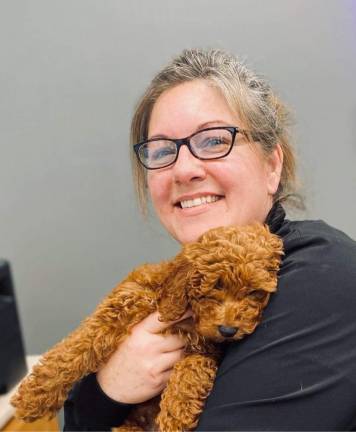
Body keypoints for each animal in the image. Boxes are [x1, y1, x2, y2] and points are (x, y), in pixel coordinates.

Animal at [11, 224, 284, 430]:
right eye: (215, 286)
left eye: (256, 293)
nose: (228, 331)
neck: (189, 315)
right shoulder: (125, 301)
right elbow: (78, 347)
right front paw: (36, 394)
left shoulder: (208, 350)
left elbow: (193, 369)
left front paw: (176, 414)